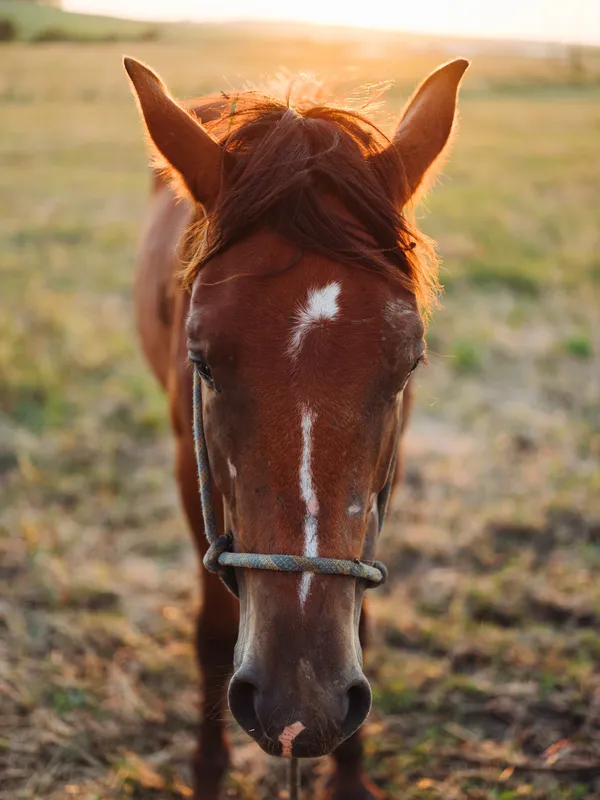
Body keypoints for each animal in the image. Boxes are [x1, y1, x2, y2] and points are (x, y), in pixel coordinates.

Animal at [124, 55, 468, 799]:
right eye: (202, 359)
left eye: (409, 363)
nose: (301, 707)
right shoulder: (189, 470)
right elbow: (212, 630)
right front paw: (208, 771)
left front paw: (350, 776)